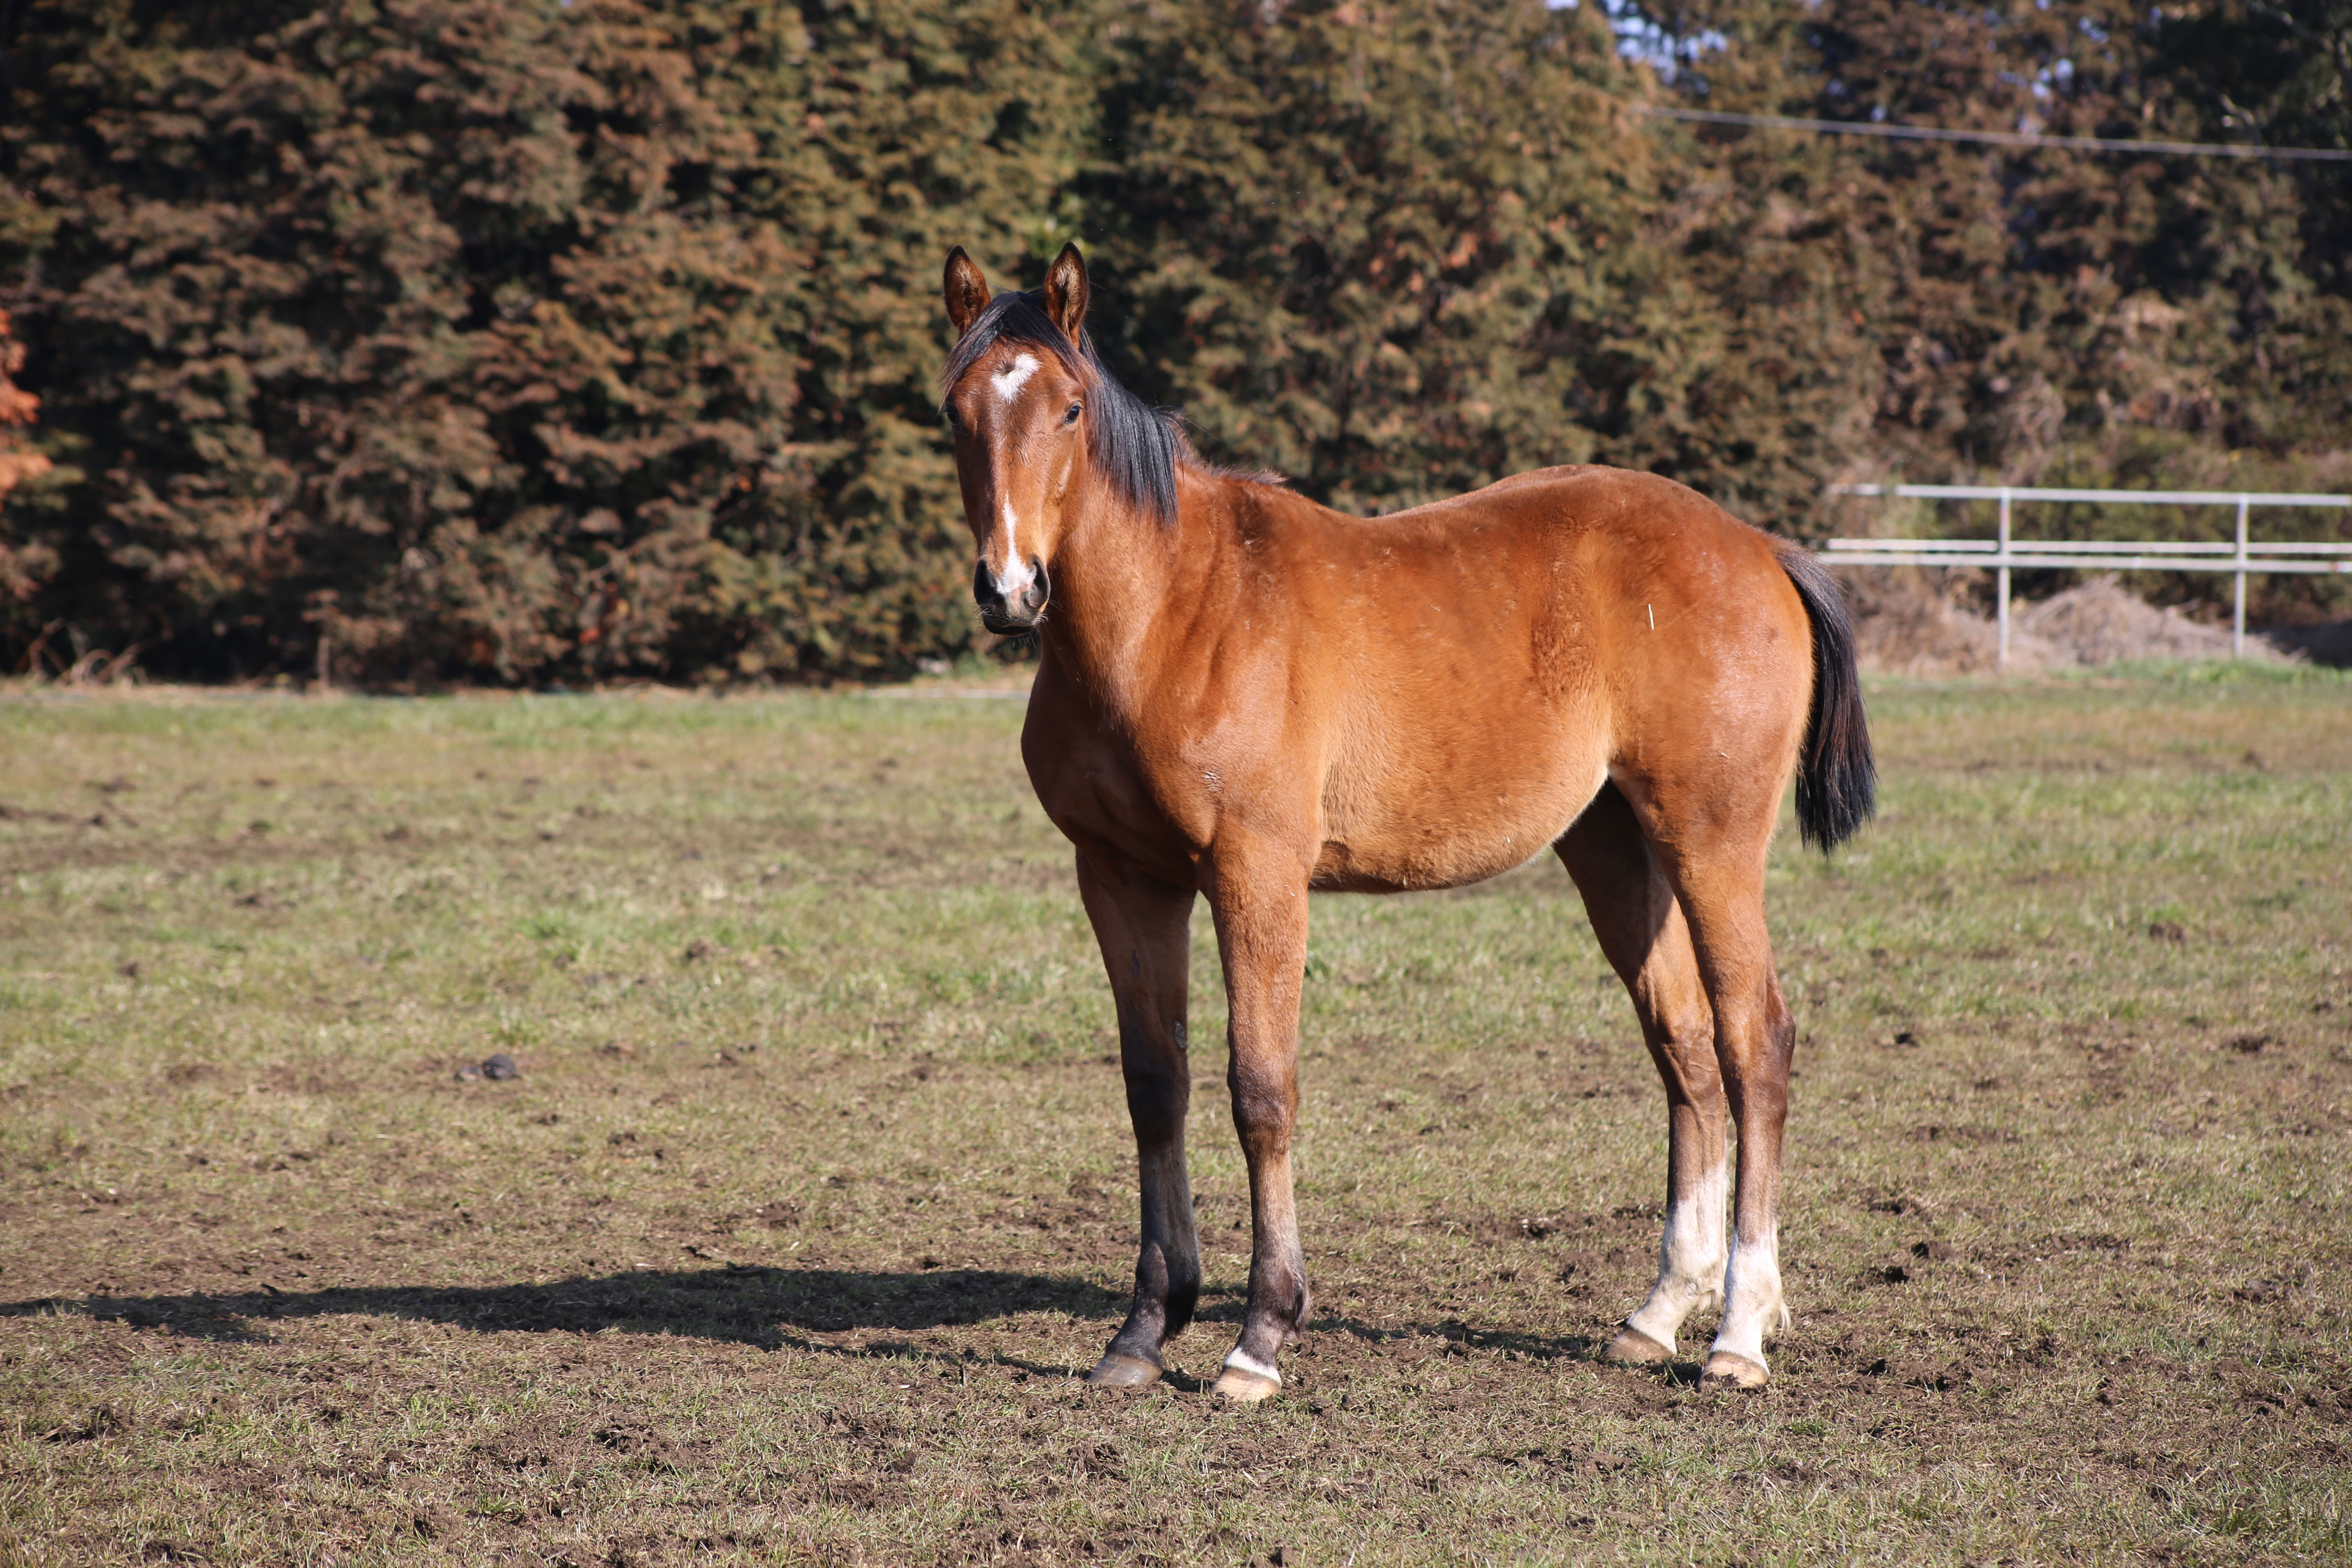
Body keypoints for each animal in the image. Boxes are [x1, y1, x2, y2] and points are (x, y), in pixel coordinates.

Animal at [936, 242, 1872, 1401]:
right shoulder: (1121, 876)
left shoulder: (1255, 875)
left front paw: (1259, 1336)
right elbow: (1157, 1086)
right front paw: (1145, 1330)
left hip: (1711, 843)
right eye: (955, 411)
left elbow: (1261, 1088)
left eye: (1067, 410)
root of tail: (1756, 547)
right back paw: (1658, 1313)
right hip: (1617, 849)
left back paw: (1739, 1330)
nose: (1009, 588)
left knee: (1755, 1042)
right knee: (1687, 1050)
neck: (1174, 612)